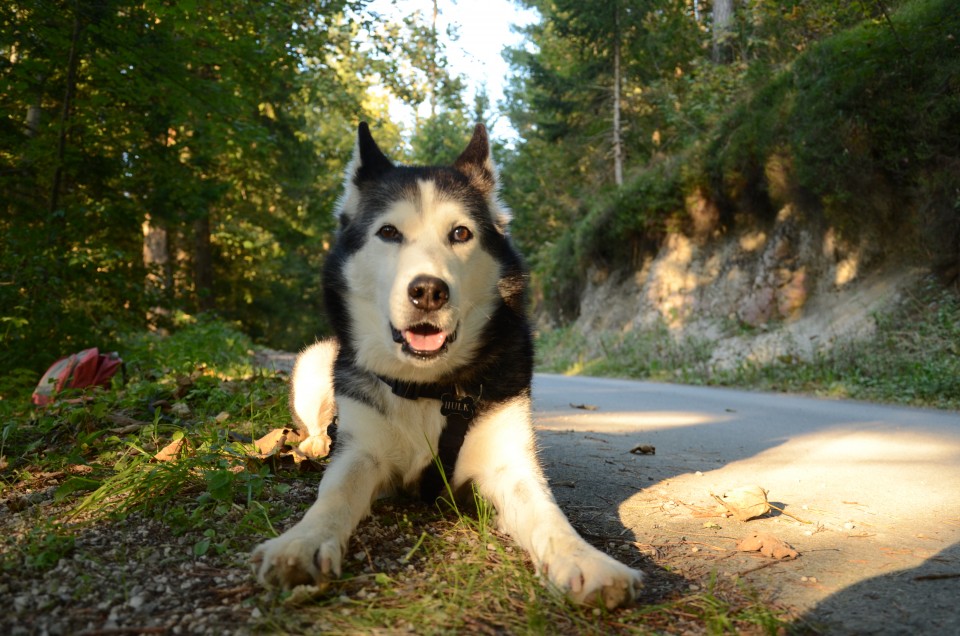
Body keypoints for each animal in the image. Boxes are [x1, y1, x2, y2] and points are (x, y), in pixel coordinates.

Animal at [249, 123, 644, 608]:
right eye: (388, 232)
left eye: (460, 233)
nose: (428, 292)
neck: (429, 386)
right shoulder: (362, 452)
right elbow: (334, 494)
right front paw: (301, 543)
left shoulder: (508, 460)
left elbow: (550, 516)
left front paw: (586, 560)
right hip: (316, 359)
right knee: (318, 422)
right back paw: (314, 443)